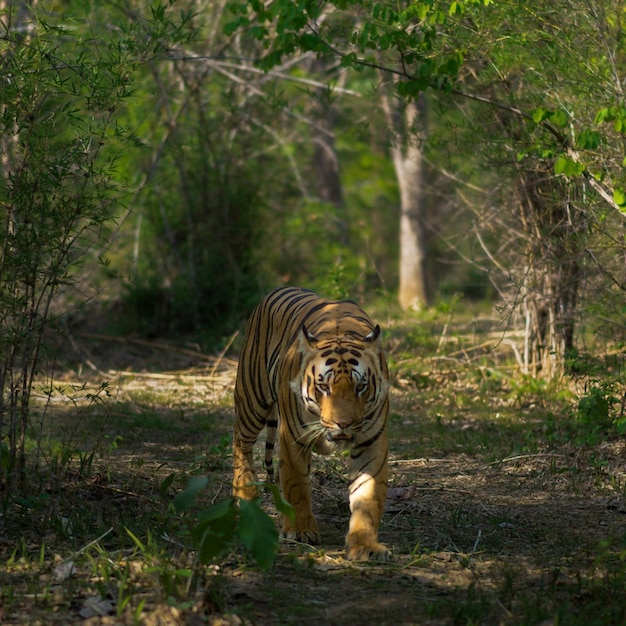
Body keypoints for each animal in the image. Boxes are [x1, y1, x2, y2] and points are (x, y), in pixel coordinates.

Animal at [232, 286, 388, 560]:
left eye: (360, 387)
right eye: (324, 386)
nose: (343, 423)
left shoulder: (372, 443)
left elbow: (367, 496)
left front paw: (365, 544)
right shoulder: (293, 438)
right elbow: (297, 487)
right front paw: (300, 531)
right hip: (252, 399)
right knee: (241, 442)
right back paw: (245, 493)